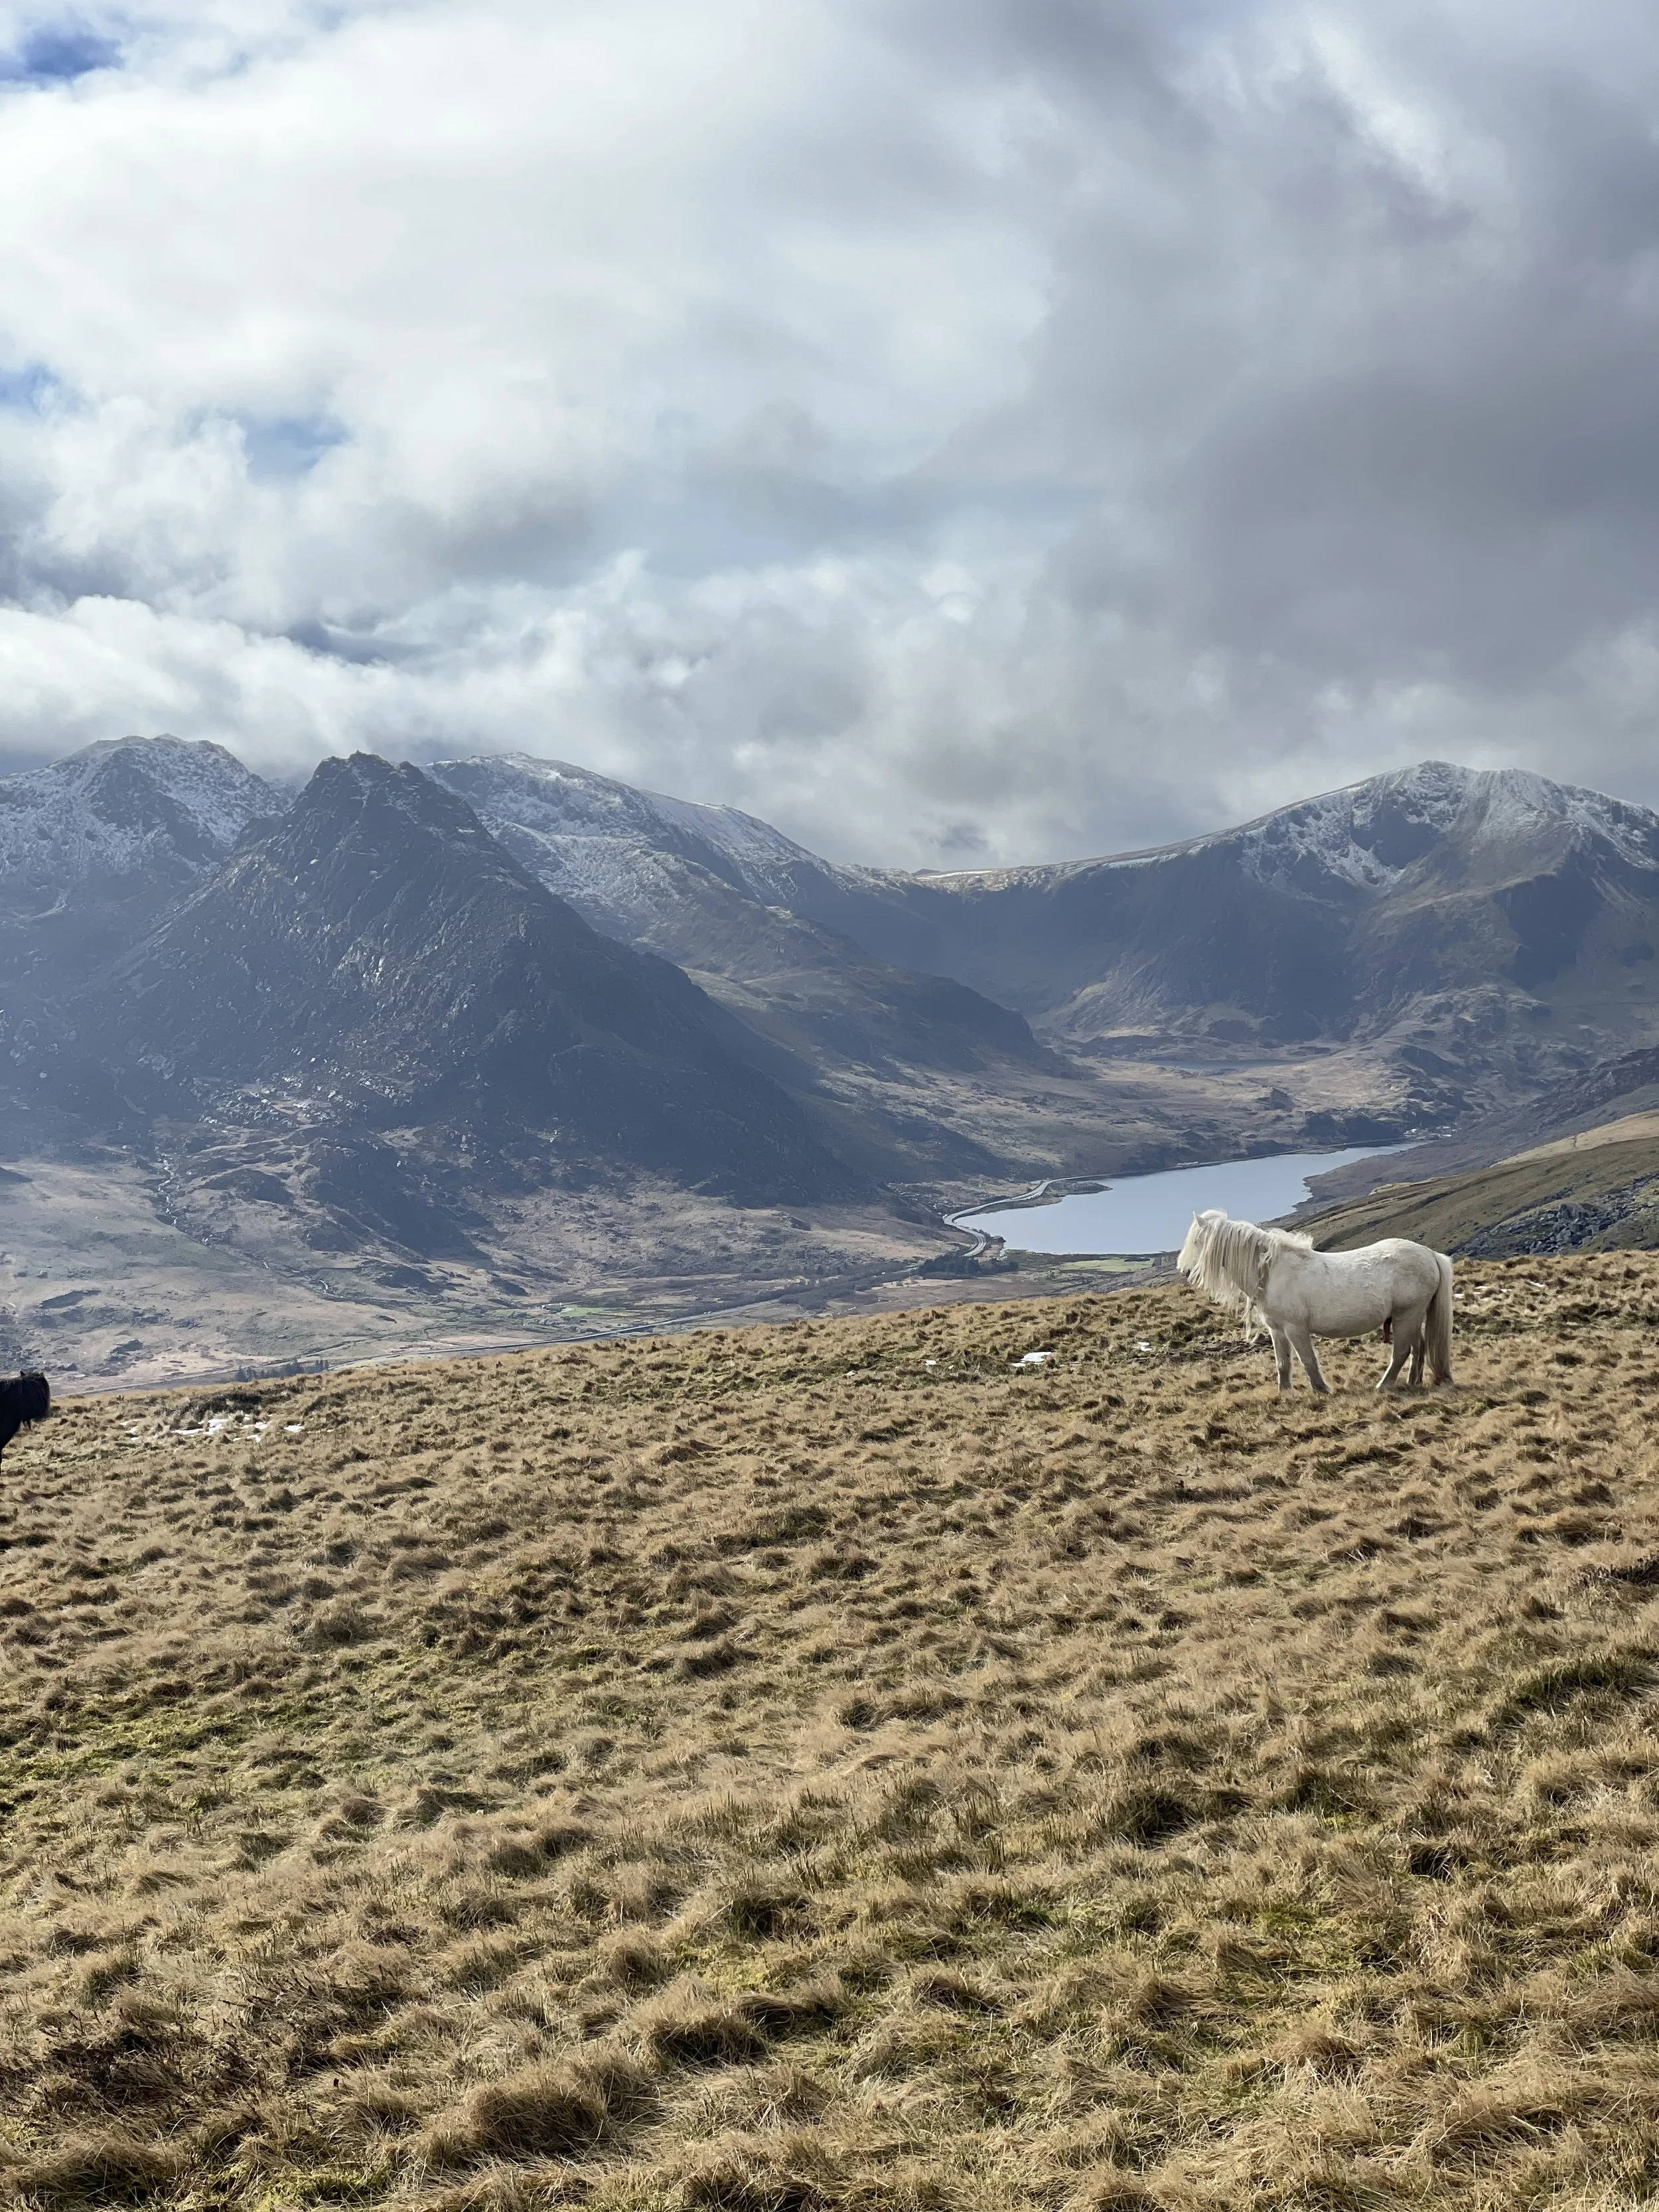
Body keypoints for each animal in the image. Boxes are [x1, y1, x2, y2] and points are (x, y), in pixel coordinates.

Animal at [1177, 1210, 1453, 1394]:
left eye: (1197, 1241)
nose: (1184, 1271)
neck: (1272, 1272)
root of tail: (1430, 1255)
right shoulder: (1277, 1330)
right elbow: (1283, 1364)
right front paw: (1284, 1393)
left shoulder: (1295, 1328)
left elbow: (1307, 1360)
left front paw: (1322, 1390)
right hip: (1410, 1316)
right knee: (1418, 1347)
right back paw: (1413, 1382)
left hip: (1407, 1315)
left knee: (1402, 1352)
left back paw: (1383, 1385)